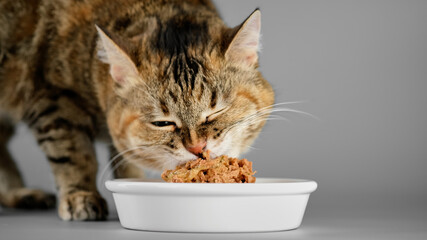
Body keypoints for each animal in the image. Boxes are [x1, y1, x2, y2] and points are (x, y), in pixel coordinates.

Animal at [0, 0, 274, 221]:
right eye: (162, 123)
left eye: (215, 112)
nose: (197, 148)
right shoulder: (52, 97)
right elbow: (74, 154)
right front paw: (81, 194)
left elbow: (124, 159)